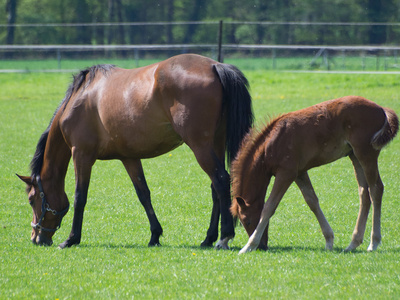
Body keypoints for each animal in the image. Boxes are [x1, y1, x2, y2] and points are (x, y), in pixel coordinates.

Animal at [18, 53, 253, 248]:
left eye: (31, 199)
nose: (36, 238)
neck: (78, 100)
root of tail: (215, 66)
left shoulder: (81, 155)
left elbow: (80, 196)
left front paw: (72, 239)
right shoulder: (129, 158)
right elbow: (143, 194)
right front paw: (155, 235)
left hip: (200, 146)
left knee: (221, 180)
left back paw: (224, 237)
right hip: (215, 143)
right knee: (216, 187)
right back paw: (208, 238)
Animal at [230, 96, 398, 253]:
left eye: (247, 221)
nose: (263, 247)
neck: (271, 144)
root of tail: (381, 109)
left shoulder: (286, 174)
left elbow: (269, 206)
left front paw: (248, 246)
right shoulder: (300, 172)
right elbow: (312, 201)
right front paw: (329, 240)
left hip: (366, 153)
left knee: (376, 189)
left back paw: (374, 242)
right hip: (355, 156)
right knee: (364, 193)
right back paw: (353, 243)